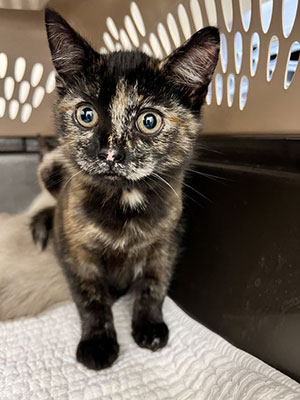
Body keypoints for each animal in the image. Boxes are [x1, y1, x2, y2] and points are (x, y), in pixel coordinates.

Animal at [34, 7, 220, 370]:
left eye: (149, 121)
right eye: (86, 114)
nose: (110, 154)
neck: (124, 201)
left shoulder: (167, 241)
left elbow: (153, 284)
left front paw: (149, 326)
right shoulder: (76, 251)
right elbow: (90, 296)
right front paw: (97, 342)